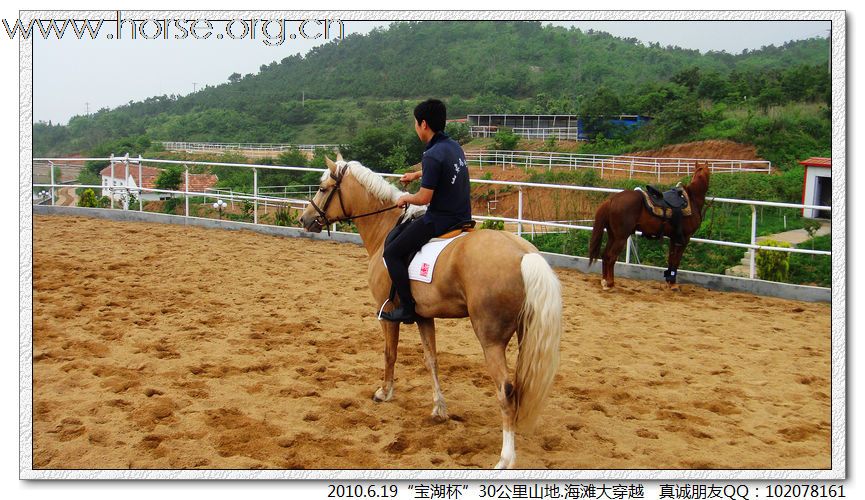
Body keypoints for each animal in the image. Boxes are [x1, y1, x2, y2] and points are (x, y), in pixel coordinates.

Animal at [300, 155, 564, 468]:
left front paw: (384, 393)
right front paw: (439, 408)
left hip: (490, 340)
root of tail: (524, 254)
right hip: (525, 335)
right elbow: (431, 360)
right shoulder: (424, 317)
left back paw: (505, 458)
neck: (385, 227)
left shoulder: (386, 312)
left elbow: (390, 354)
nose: (304, 219)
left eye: (323, 188)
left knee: (505, 390)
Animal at [588, 162, 708, 292]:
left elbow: (671, 259)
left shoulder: (673, 238)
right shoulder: (685, 238)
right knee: (611, 257)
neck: (691, 199)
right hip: (621, 238)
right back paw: (610, 283)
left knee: (605, 256)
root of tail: (612, 200)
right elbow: (676, 261)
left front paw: (669, 282)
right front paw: (673, 284)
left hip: (612, 235)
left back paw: (604, 281)